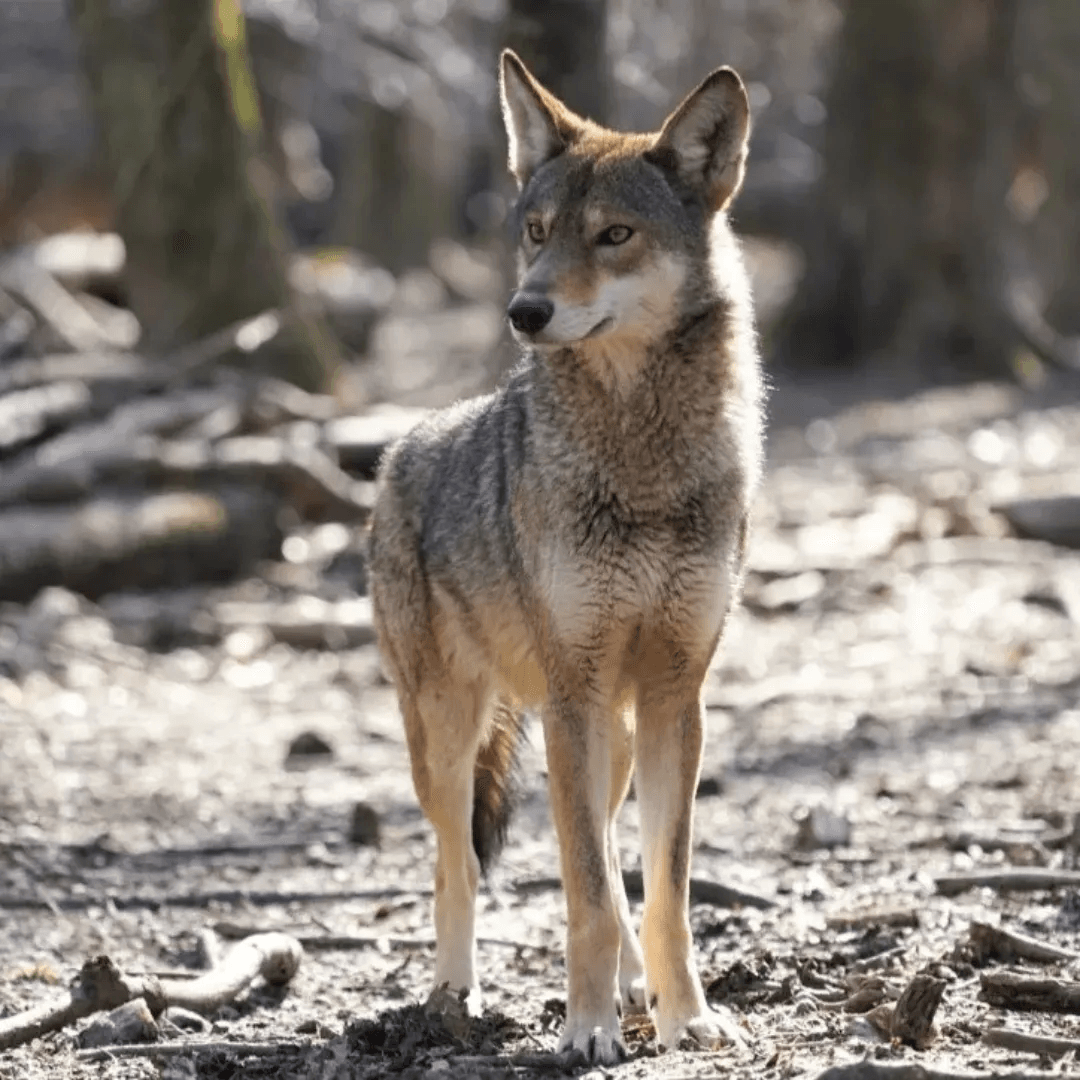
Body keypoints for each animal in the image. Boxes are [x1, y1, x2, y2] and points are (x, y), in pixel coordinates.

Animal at [367, 49, 763, 1066]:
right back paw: (454, 996)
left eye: (614, 235)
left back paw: (630, 988)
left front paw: (686, 1016)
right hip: (456, 734)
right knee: (457, 865)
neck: (641, 463)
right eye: (538, 232)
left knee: (611, 862)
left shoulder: (674, 697)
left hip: (603, 736)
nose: (525, 310)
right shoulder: (577, 696)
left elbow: (661, 890)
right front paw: (588, 1031)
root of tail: (399, 449)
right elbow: (582, 887)